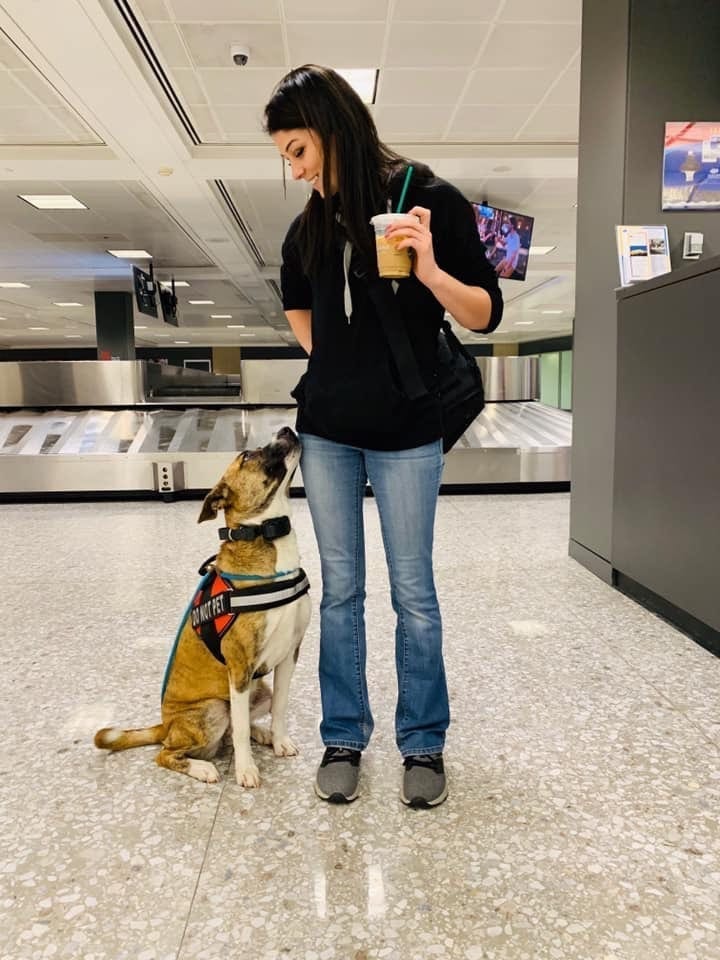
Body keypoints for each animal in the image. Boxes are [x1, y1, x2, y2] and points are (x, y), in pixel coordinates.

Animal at [95, 428, 310, 788]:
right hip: (213, 708)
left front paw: (279, 740)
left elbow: (279, 708)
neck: (264, 537)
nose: (285, 429)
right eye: (247, 455)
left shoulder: (289, 655)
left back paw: (263, 735)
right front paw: (246, 770)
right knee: (168, 753)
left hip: (258, 690)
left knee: (235, 729)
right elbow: (239, 731)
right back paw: (202, 768)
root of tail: (165, 726)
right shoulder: (239, 668)